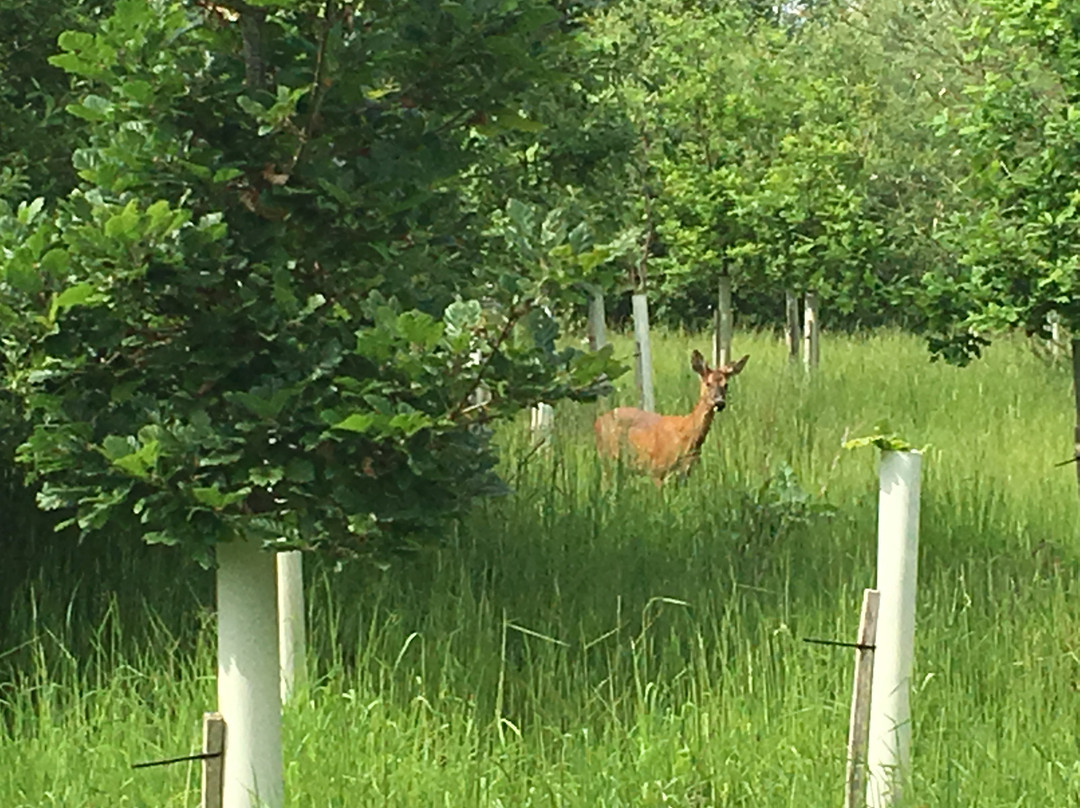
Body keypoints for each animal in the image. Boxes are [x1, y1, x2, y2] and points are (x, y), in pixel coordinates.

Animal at [591, 347, 751, 486]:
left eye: (726, 385)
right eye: (708, 383)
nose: (720, 403)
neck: (688, 437)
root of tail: (598, 421)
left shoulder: (685, 474)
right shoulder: (657, 469)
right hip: (607, 457)